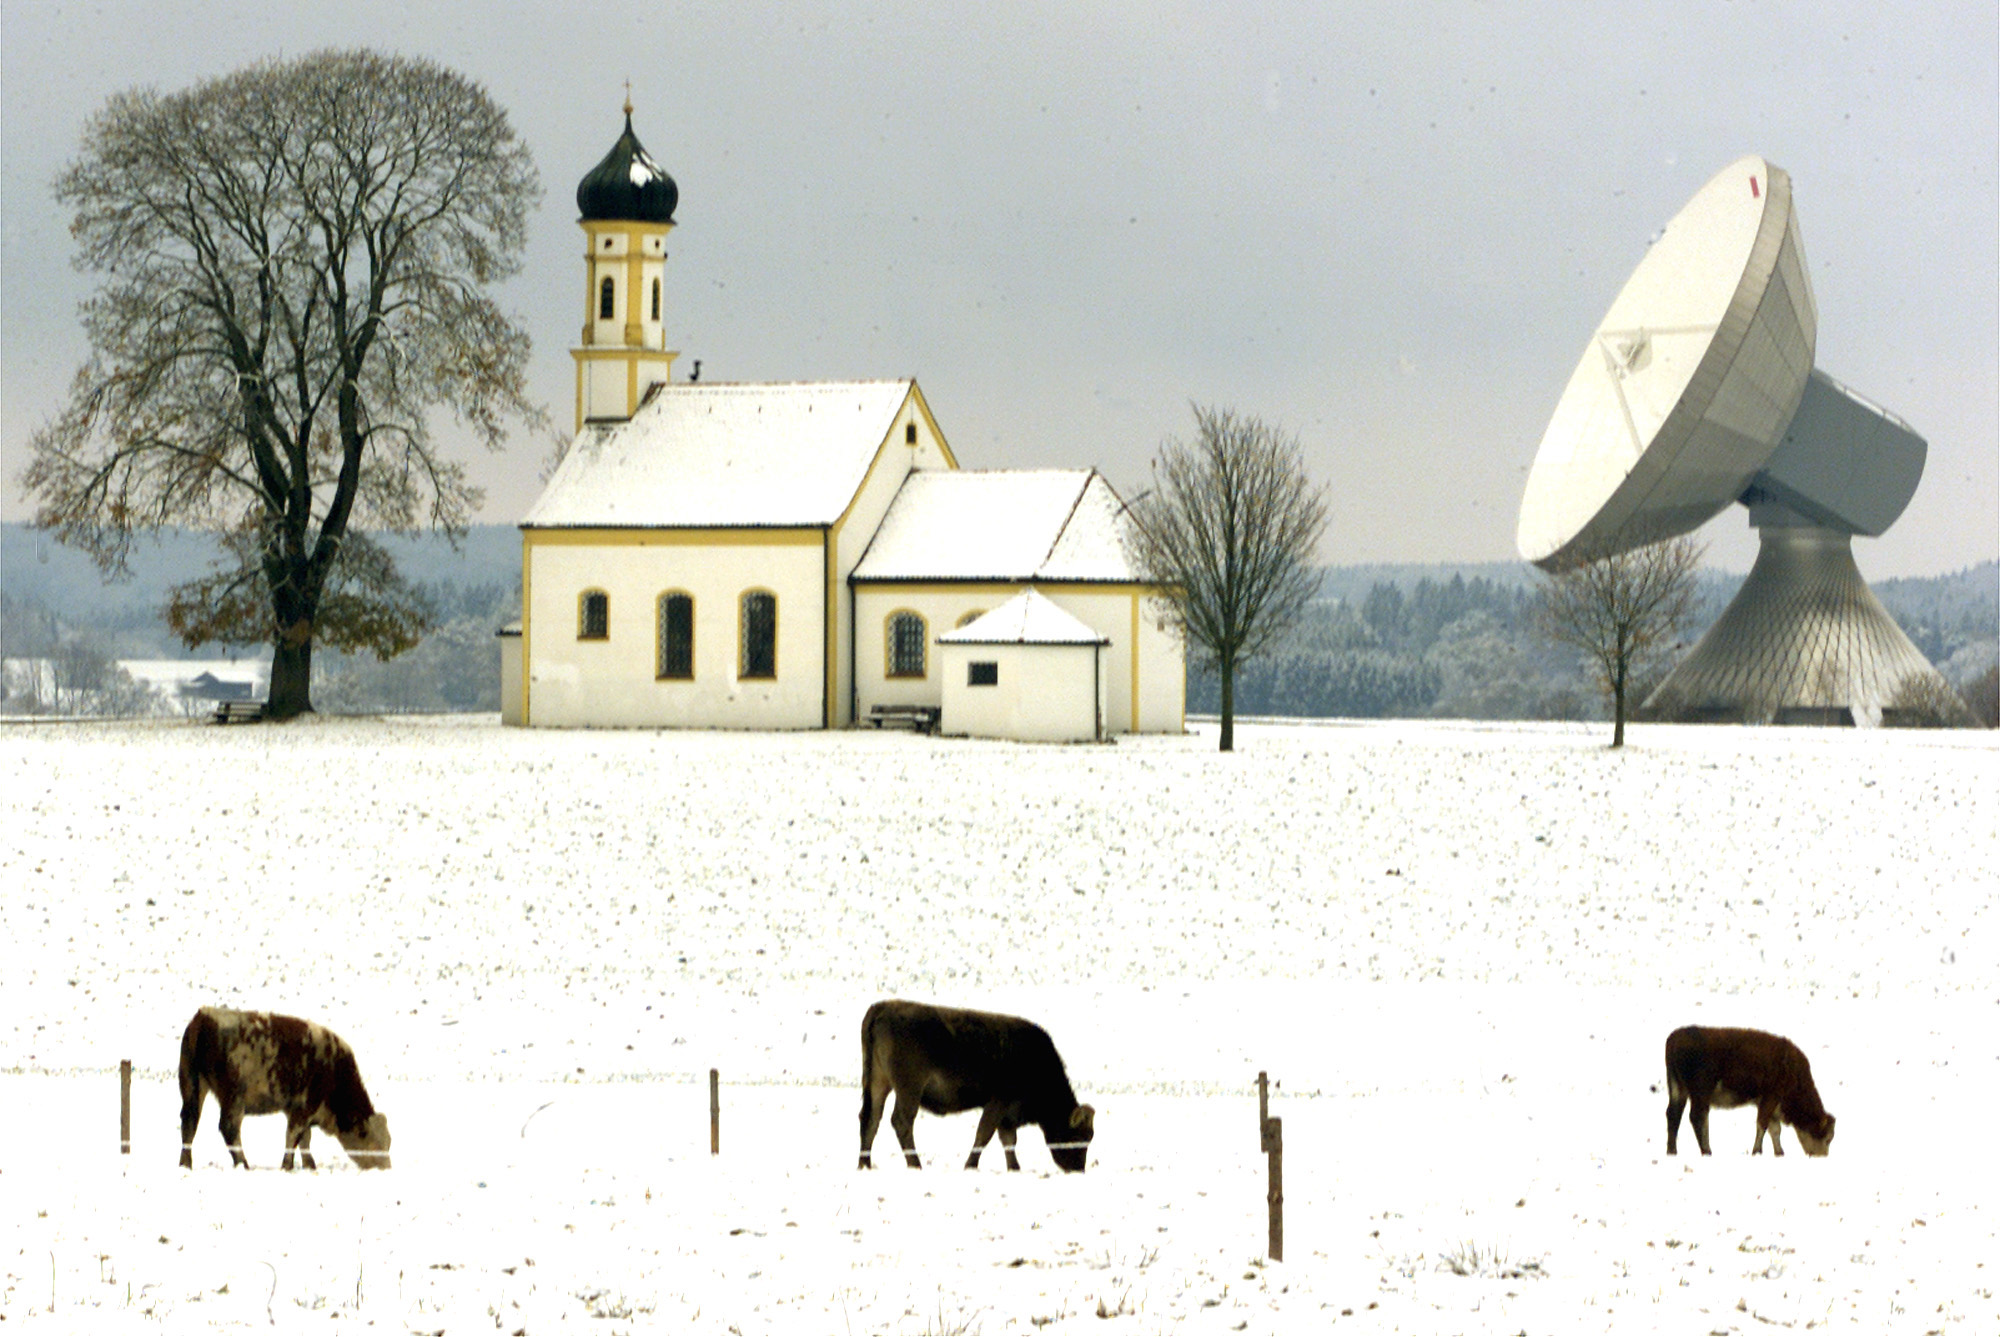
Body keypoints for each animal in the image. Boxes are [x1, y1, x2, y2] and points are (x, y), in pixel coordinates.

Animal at [178, 1000, 392, 1168]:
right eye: (374, 1143)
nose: (386, 1168)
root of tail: (204, 1016)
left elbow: (305, 1140)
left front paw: (309, 1165)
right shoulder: (303, 1107)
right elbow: (293, 1137)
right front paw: (287, 1165)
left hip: (193, 1086)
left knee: (189, 1122)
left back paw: (185, 1163)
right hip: (233, 1098)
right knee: (229, 1128)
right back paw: (243, 1164)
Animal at [856, 996, 1104, 1176]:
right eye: (1080, 1136)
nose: (1078, 1169)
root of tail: (882, 1008)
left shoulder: (1006, 1113)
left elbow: (1008, 1141)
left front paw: (1014, 1168)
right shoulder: (998, 1102)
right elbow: (985, 1134)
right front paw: (971, 1165)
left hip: (878, 1083)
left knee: (871, 1118)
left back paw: (864, 1163)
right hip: (909, 1089)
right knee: (901, 1121)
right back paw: (915, 1163)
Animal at [1664, 1032, 1832, 1152]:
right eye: (1827, 1138)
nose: (1821, 1156)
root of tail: (1675, 1039)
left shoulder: (1768, 1103)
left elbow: (1774, 1129)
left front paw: (1779, 1152)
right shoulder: (1770, 1097)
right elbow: (1763, 1125)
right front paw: (1757, 1151)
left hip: (1679, 1090)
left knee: (1674, 1115)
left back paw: (1672, 1151)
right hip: (1700, 1093)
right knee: (1697, 1117)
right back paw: (1706, 1151)